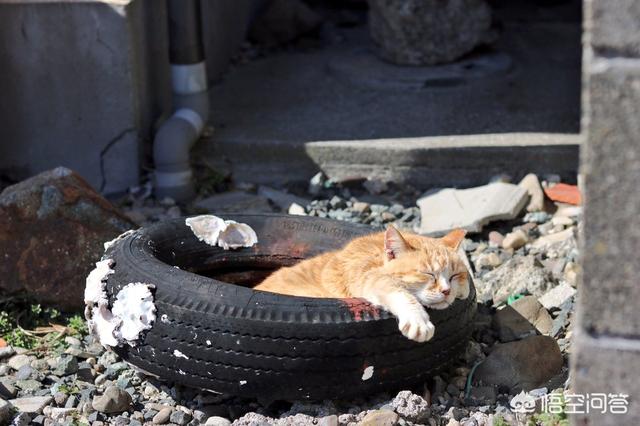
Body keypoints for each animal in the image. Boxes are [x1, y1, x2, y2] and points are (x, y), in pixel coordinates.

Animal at [254, 226, 470, 342]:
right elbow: (399, 292)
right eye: (428, 274)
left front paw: (463, 289)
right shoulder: (366, 277)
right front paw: (418, 320)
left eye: (454, 275)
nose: (446, 291)